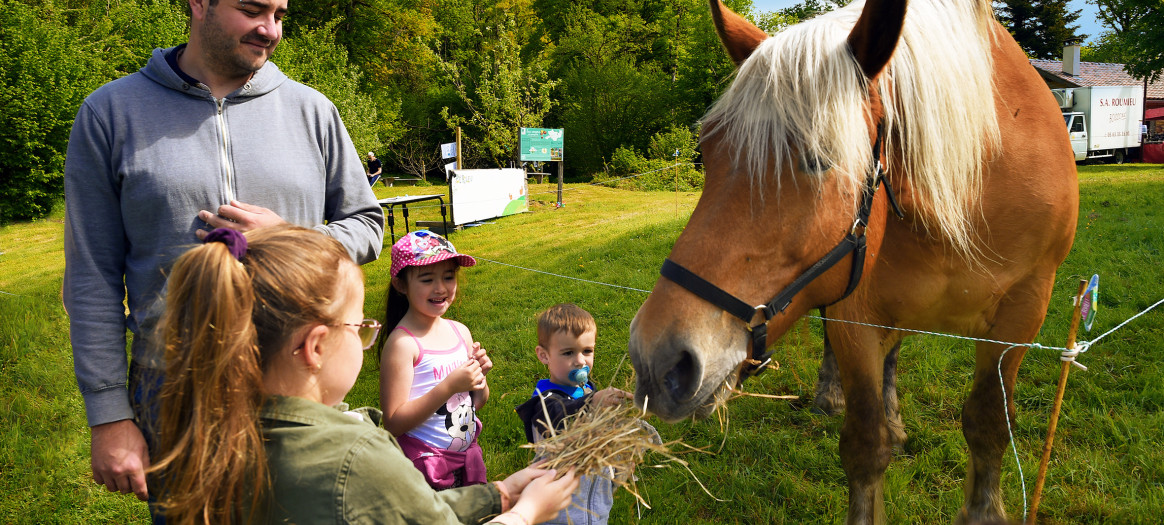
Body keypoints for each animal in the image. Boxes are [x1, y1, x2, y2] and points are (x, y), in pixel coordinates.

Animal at [628, 0, 1080, 523]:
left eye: (820, 158)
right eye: (705, 152)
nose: (656, 359)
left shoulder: (1023, 313)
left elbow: (988, 425)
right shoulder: (854, 314)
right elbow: (865, 444)